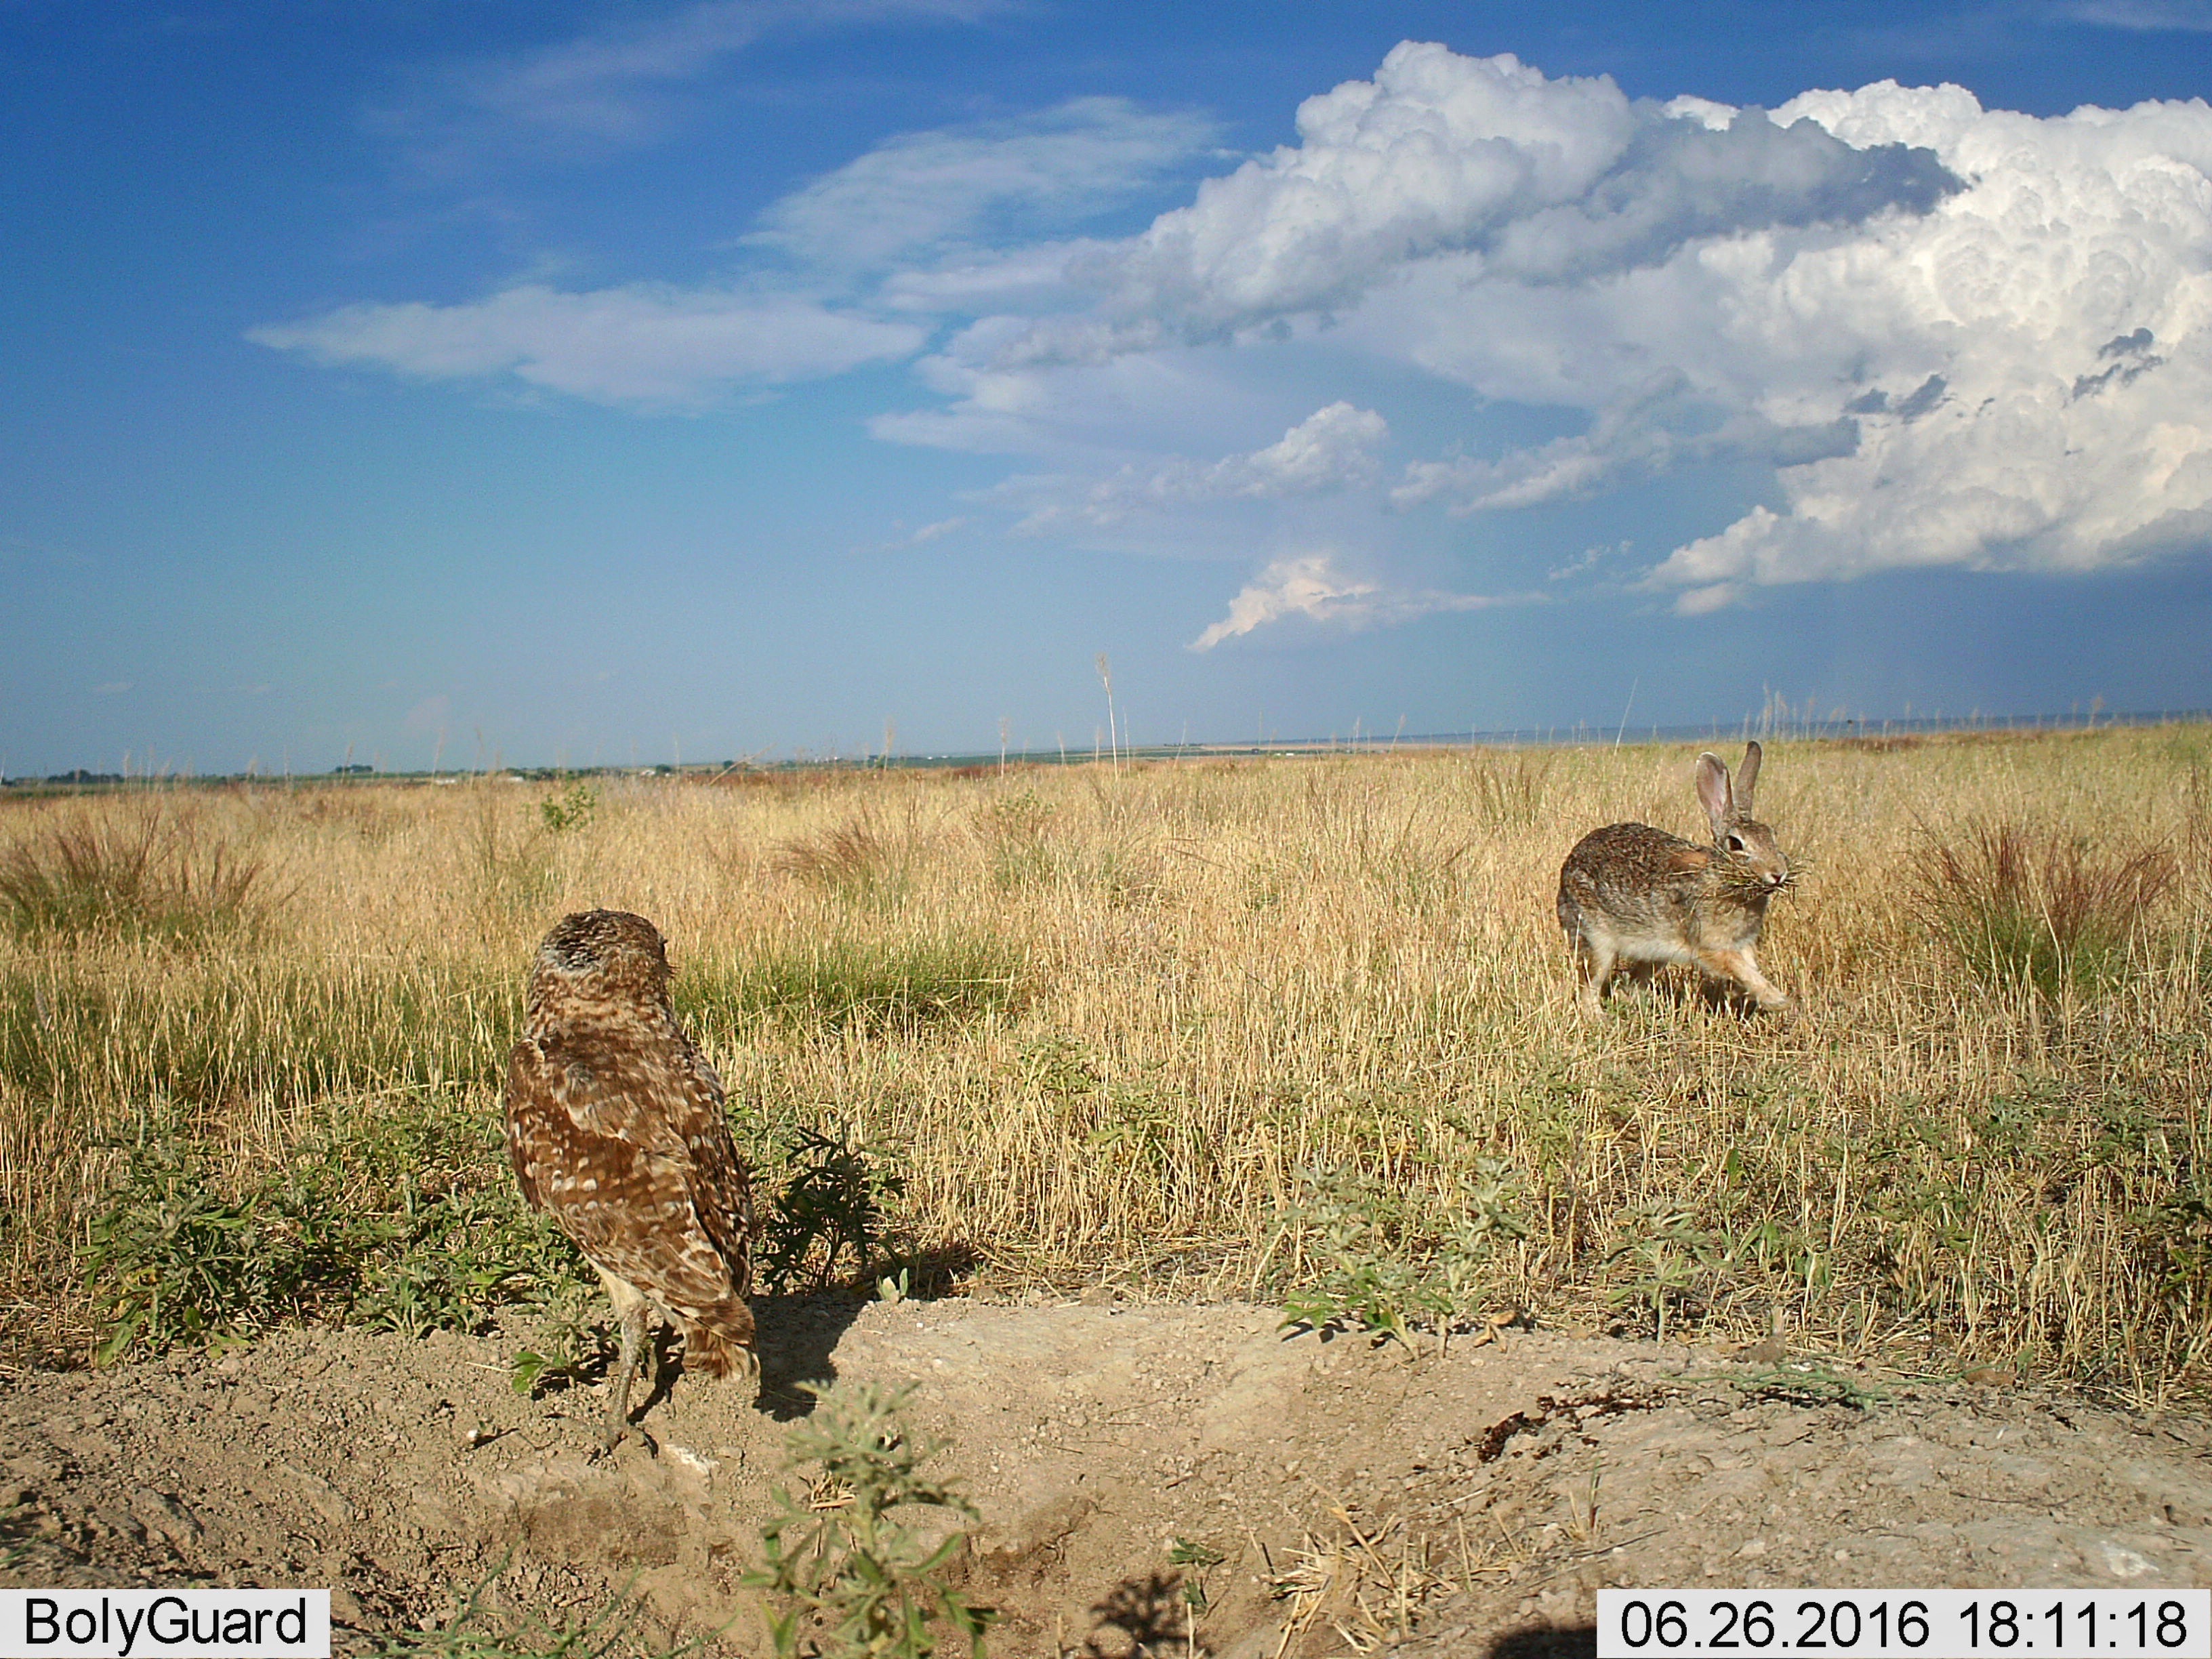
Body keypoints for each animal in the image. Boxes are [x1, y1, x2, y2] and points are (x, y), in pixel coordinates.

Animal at [1557, 747, 1796, 1021]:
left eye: (1772, 836)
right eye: (1736, 843)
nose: (1778, 873)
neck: (1720, 878)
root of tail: (1567, 869)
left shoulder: (1743, 942)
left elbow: (1750, 967)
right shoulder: (1711, 946)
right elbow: (1740, 969)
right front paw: (1779, 1001)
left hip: (1655, 953)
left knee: (1631, 986)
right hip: (1598, 942)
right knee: (1589, 988)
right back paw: (1602, 1020)